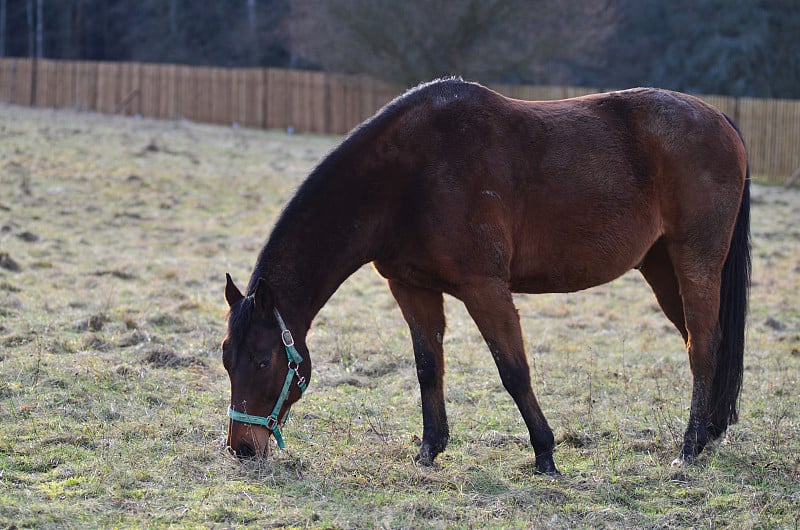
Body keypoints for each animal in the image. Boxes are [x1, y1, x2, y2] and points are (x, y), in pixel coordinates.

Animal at [220, 79, 752, 474]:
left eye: (264, 361)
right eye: (227, 359)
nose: (242, 448)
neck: (407, 177)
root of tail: (720, 119)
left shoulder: (485, 288)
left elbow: (513, 370)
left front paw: (545, 453)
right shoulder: (412, 287)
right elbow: (428, 365)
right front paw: (429, 449)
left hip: (695, 262)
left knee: (701, 347)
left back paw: (688, 449)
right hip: (661, 267)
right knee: (702, 342)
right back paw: (708, 436)